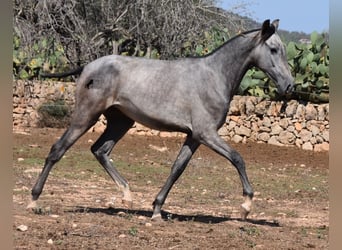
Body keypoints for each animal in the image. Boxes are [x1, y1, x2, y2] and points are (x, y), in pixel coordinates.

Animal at [28, 20, 294, 221]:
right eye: (273, 50)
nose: (289, 86)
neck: (214, 76)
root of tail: (88, 67)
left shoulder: (195, 136)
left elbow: (177, 168)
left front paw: (156, 209)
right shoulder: (207, 133)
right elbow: (238, 158)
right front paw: (246, 205)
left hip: (120, 121)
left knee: (100, 150)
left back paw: (126, 195)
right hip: (86, 115)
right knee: (58, 149)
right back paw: (34, 200)